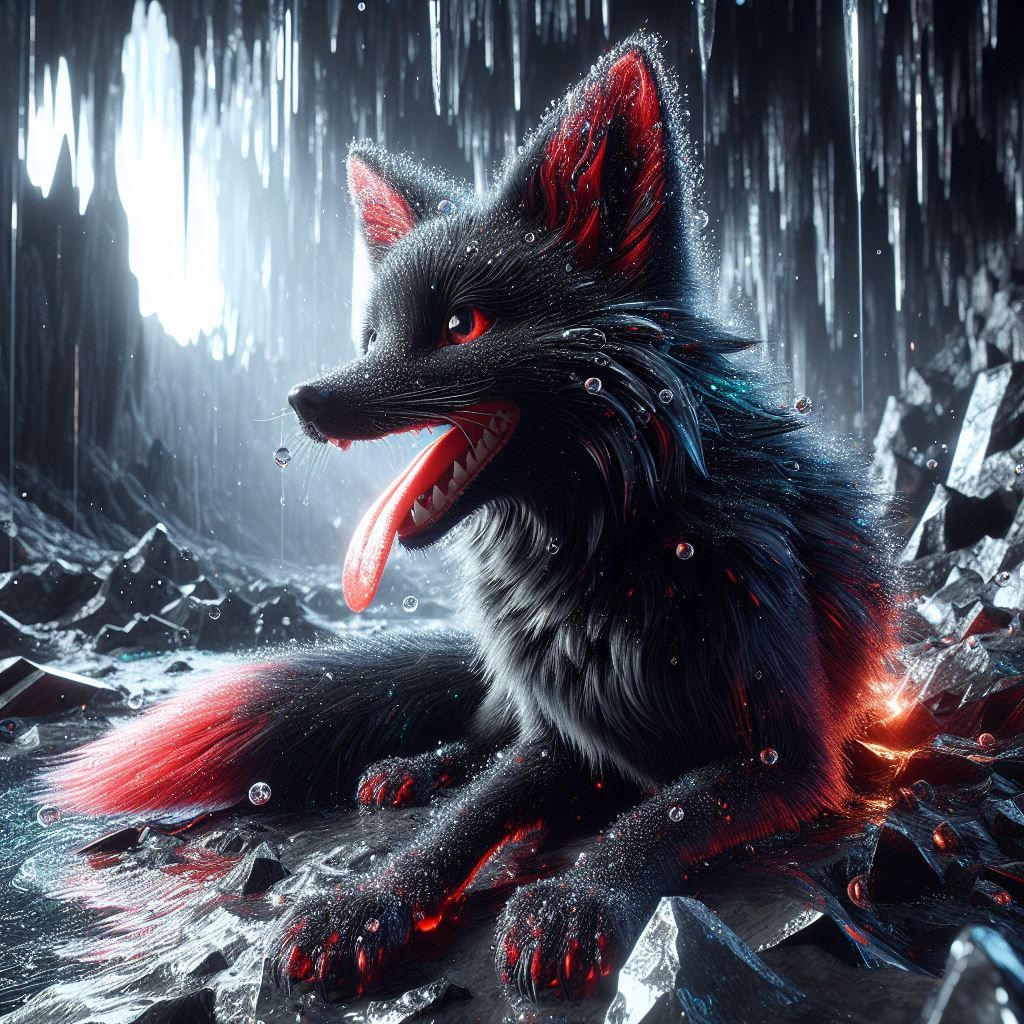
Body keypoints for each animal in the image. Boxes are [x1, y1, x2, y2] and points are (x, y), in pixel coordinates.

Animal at [46, 33, 894, 1002]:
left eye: (462, 325)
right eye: (374, 339)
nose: (304, 399)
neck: (606, 557)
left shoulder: (788, 760)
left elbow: (666, 812)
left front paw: (577, 901)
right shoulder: (565, 735)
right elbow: (469, 816)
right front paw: (366, 904)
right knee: (481, 733)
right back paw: (416, 770)